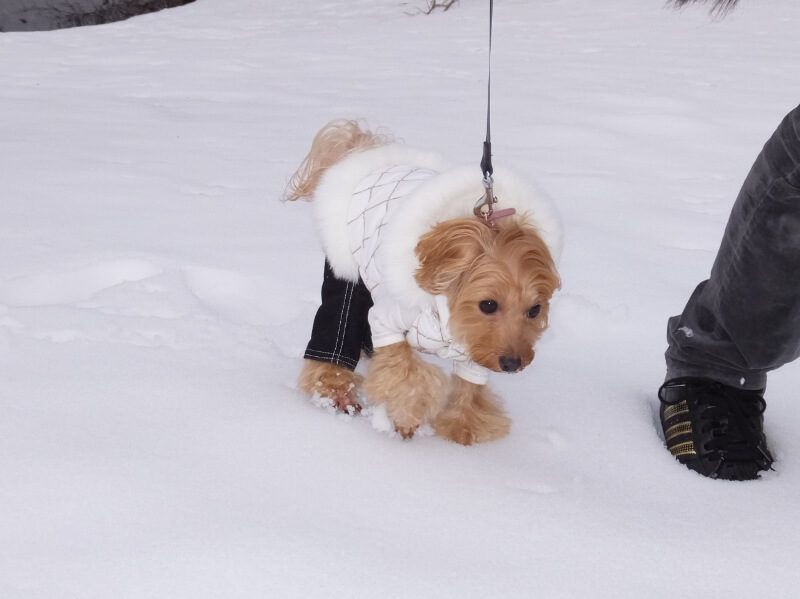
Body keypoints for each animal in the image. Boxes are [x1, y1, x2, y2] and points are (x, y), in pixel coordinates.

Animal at [284, 119, 560, 446]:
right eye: (488, 304)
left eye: (535, 310)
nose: (512, 364)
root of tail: (364, 150)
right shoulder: (388, 320)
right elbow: (405, 372)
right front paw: (407, 416)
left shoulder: (475, 351)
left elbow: (470, 386)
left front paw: (464, 426)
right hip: (347, 273)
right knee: (337, 328)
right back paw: (335, 391)